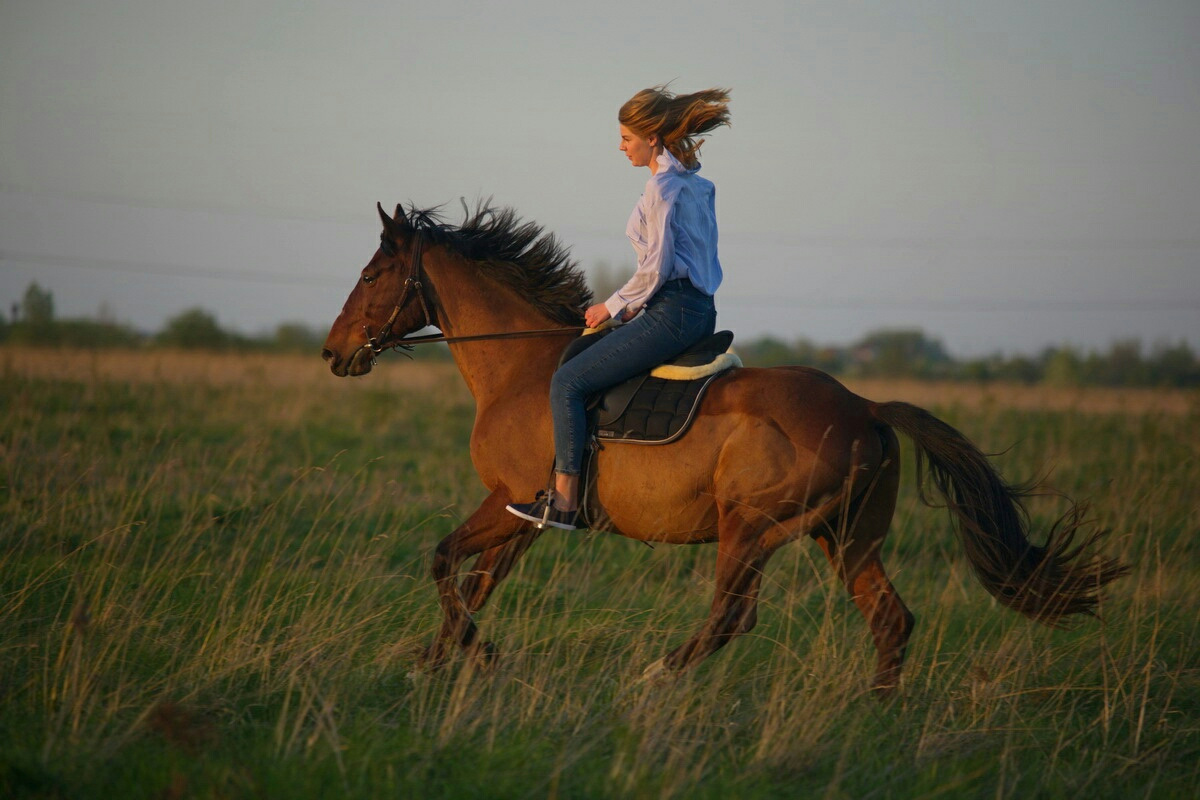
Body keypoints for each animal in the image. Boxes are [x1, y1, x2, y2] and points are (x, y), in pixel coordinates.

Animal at [319, 201, 1123, 695]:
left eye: (372, 274)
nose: (333, 352)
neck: (520, 366)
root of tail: (864, 406)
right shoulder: (527, 518)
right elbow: (473, 581)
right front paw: (440, 658)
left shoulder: (513, 502)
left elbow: (445, 562)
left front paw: (464, 656)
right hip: (846, 537)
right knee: (890, 617)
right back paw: (875, 711)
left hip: (751, 528)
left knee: (732, 617)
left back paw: (654, 676)